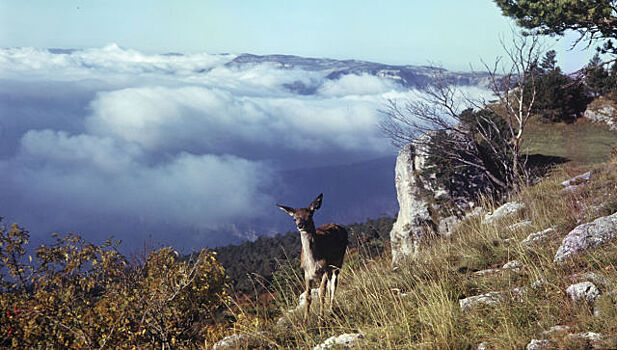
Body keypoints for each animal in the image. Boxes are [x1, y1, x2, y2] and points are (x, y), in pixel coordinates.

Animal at [276, 194, 346, 322]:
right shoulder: (306, 273)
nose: (300, 225)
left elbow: (321, 292)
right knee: (330, 285)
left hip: (338, 263)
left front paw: (321, 319)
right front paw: (305, 321)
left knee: (333, 284)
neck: (314, 263)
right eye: (294, 218)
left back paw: (331, 309)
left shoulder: (325, 268)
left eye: (310, 215)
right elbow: (308, 296)